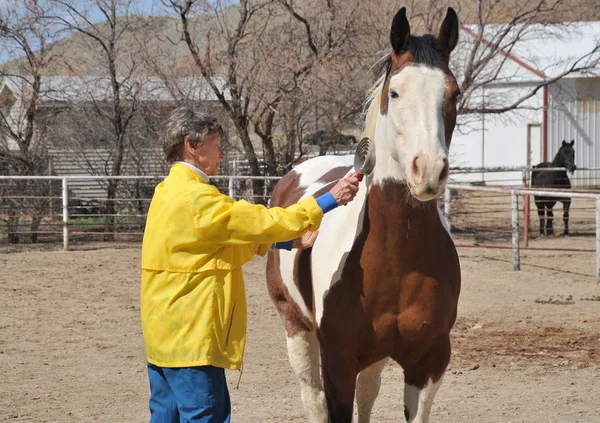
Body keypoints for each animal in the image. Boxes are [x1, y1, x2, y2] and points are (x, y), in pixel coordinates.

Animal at [266, 7, 460, 423]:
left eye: (455, 93)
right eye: (395, 92)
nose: (429, 171)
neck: (396, 257)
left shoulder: (429, 361)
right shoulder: (338, 361)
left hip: (375, 355)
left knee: (367, 395)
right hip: (296, 328)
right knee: (313, 398)